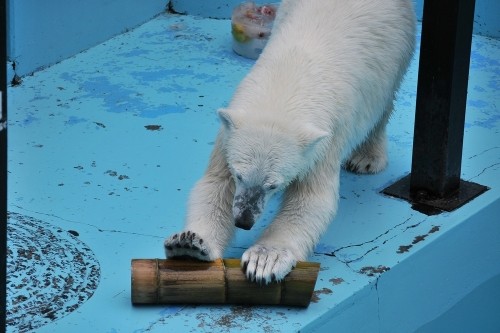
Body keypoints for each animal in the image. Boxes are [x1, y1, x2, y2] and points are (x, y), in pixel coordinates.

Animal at [164, 0, 414, 282]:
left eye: (274, 185)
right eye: (239, 175)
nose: (243, 221)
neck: (287, 84)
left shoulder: (325, 142)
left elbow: (310, 200)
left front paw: (265, 258)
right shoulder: (229, 134)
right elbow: (215, 184)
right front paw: (189, 243)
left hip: (395, 51)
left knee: (382, 104)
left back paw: (367, 157)